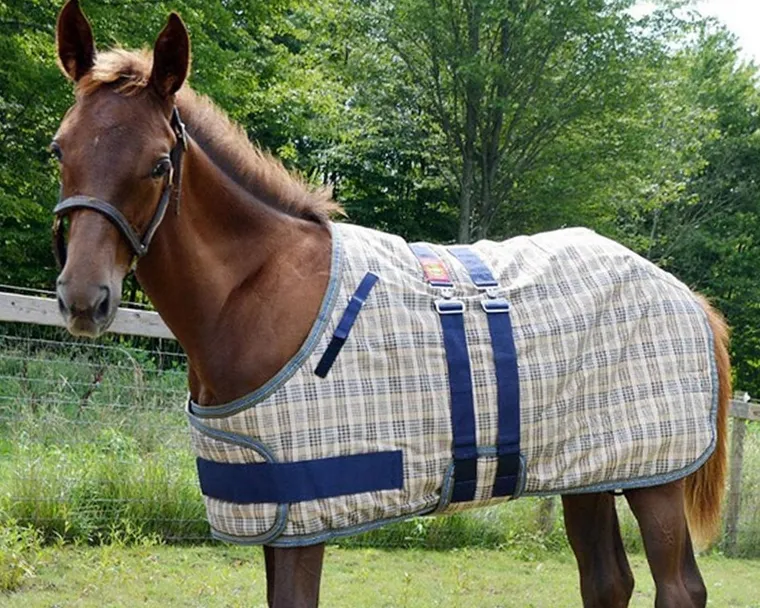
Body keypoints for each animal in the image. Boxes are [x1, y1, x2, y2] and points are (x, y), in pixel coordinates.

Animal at [50, 1, 730, 606]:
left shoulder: (304, 516)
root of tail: (685, 296)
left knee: (679, 588)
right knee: (607, 581)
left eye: (158, 163)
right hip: (595, 470)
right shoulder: (276, 512)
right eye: (60, 149)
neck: (255, 289)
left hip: (657, 480)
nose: (84, 298)